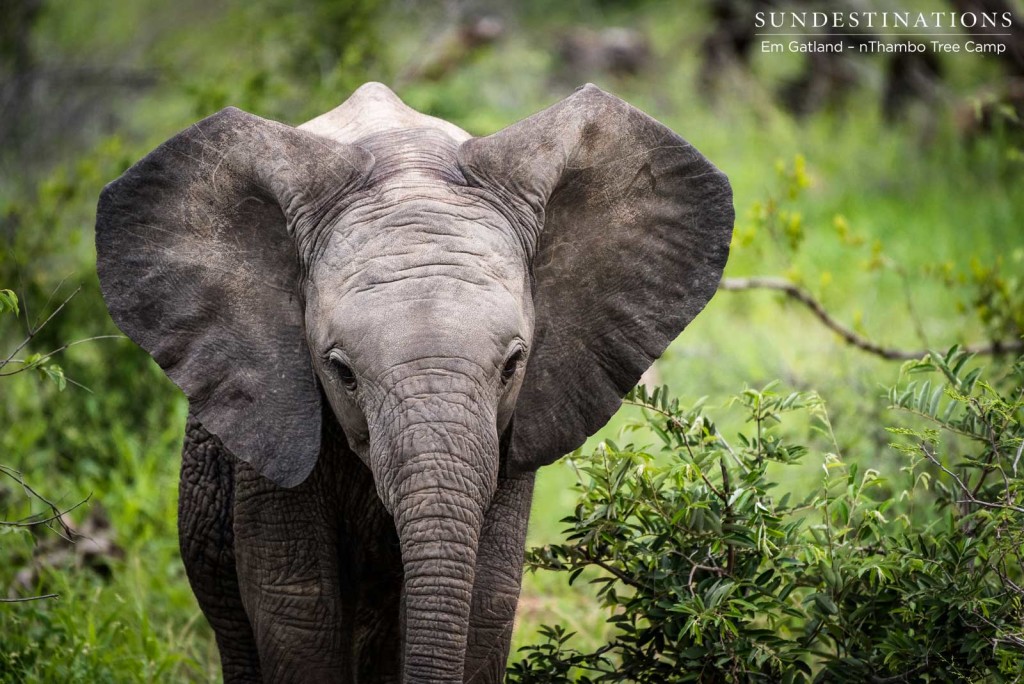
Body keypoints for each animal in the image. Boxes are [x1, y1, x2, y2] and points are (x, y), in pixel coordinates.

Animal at [96, 81, 733, 684]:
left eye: (513, 364)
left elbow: (486, 602)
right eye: (342, 372)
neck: (405, 157)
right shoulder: (271, 410)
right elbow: (298, 611)